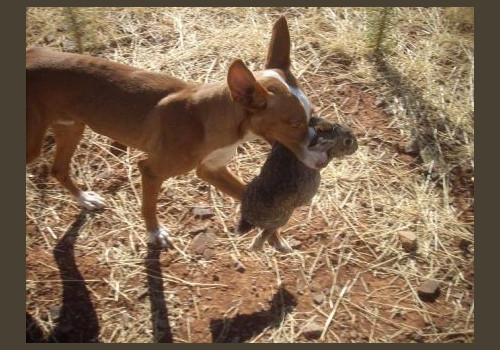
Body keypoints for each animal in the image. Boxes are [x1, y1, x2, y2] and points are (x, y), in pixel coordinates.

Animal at [27, 17, 332, 249]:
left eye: (311, 115)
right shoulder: (151, 170)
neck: (207, 121)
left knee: (58, 169)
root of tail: (30, 54)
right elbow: (148, 206)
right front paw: (154, 234)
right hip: (35, 144)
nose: (325, 158)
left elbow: (249, 199)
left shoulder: (212, 170)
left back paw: (85, 200)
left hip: (71, 126)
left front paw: (274, 238)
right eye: (294, 124)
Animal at [236, 116, 358, 253]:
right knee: (267, 233)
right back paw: (266, 247)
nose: (356, 148)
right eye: (348, 142)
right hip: (283, 216)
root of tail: (250, 218)